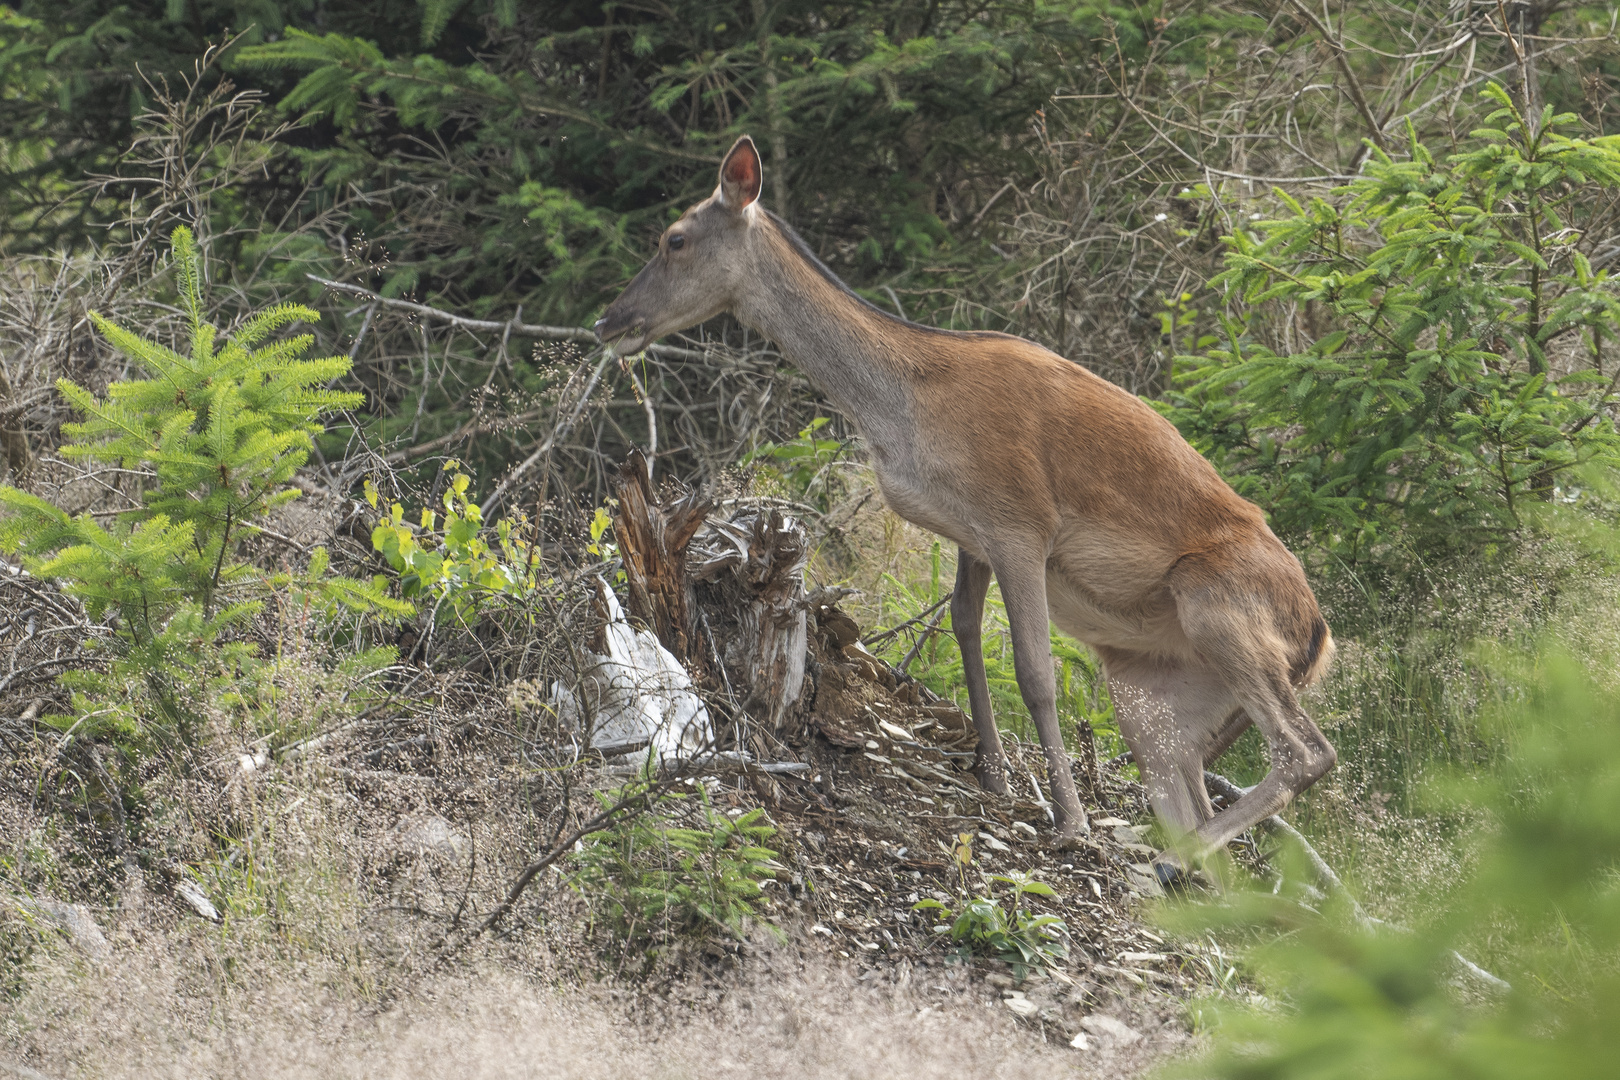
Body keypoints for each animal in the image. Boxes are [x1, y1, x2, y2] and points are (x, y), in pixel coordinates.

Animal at [592, 135, 1328, 880]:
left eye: (675, 238)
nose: (607, 321)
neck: (905, 409)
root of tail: (1317, 639)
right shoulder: (972, 533)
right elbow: (965, 627)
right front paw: (994, 773)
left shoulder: (1020, 520)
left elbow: (1034, 671)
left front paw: (1070, 820)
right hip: (1153, 691)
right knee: (1195, 793)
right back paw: (1186, 865)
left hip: (1216, 602)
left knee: (1307, 751)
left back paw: (1165, 857)